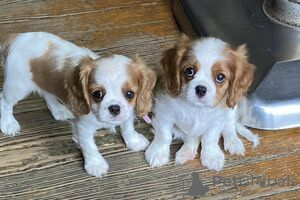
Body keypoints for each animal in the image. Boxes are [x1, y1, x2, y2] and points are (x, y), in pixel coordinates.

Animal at [1, 32, 157, 177]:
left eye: (130, 94)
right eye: (97, 94)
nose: (114, 108)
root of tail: (17, 37)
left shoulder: (127, 112)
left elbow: (127, 127)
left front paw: (133, 141)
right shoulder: (83, 127)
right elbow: (89, 146)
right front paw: (95, 165)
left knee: (47, 93)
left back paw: (58, 110)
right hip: (17, 85)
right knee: (4, 101)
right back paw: (8, 124)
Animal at [145, 35, 258, 171]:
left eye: (220, 77)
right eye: (189, 71)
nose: (201, 89)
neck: (196, 109)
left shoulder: (216, 120)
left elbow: (210, 138)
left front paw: (212, 156)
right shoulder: (164, 112)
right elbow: (164, 135)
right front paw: (158, 152)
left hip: (232, 108)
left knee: (229, 126)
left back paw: (234, 142)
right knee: (192, 137)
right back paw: (186, 152)